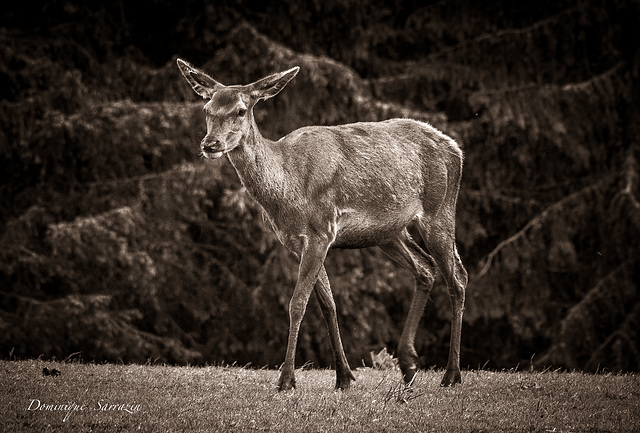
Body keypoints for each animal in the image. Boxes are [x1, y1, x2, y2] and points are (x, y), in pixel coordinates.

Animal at [178, 58, 468, 392]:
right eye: (206, 109)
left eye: (240, 110)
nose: (210, 144)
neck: (287, 187)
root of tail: (457, 150)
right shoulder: (295, 241)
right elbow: (327, 304)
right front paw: (344, 376)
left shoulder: (321, 230)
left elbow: (297, 303)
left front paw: (286, 380)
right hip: (389, 232)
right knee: (425, 268)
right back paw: (408, 366)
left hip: (440, 209)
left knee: (457, 277)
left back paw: (451, 374)